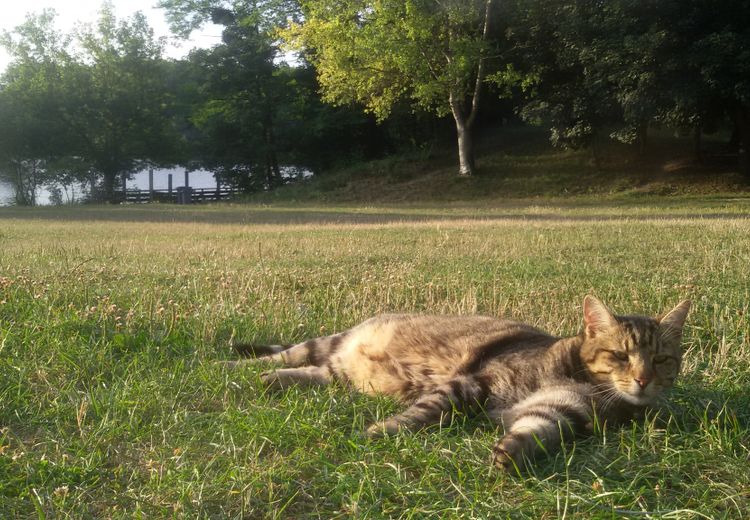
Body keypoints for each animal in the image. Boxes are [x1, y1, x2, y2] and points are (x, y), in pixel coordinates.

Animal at [225, 296, 692, 472]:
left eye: (661, 360)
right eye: (620, 356)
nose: (643, 379)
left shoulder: (562, 411)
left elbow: (536, 431)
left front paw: (510, 452)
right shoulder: (472, 384)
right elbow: (423, 412)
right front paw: (382, 431)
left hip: (341, 372)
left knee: (317, 373)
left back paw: (272, 380)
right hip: (327, 344)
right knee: (291, 353)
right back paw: (235, 366)